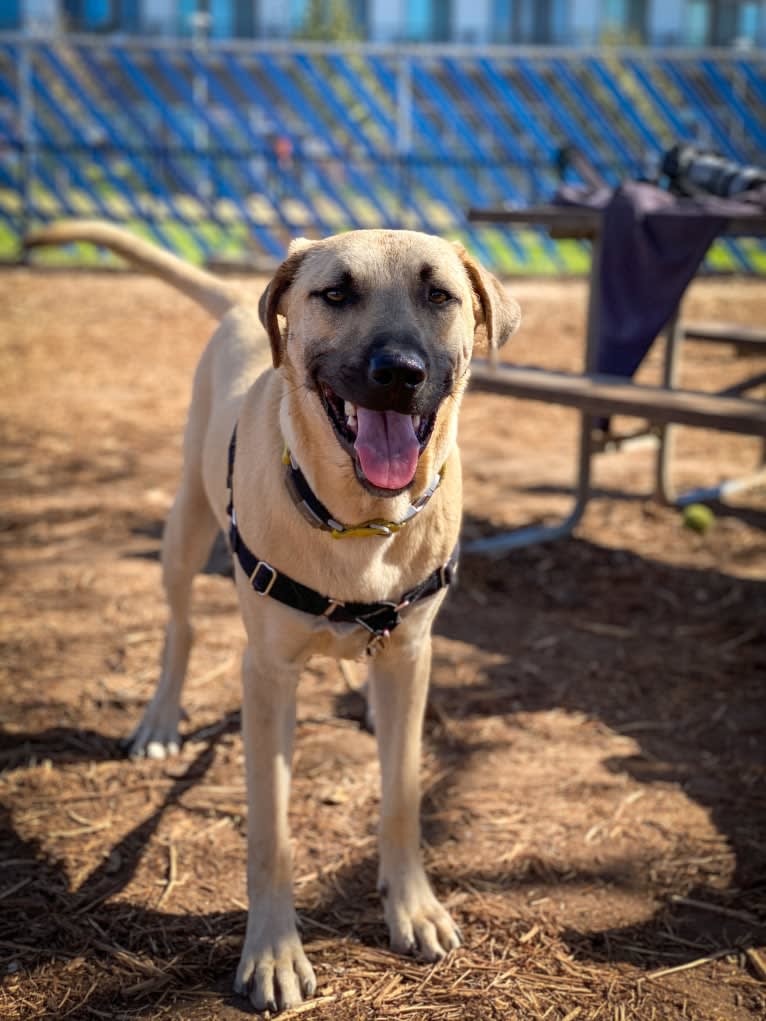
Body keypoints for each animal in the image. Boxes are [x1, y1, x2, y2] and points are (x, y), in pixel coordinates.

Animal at [27, 219, 527, 1008]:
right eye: (336, 293)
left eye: (440, 295)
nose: (399, 372)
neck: (361, 523)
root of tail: (239, 302)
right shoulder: (265, 676)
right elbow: (271, 833)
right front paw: (271, 951)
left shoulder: (412, 652)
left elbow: (403, 797)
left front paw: (412, 906)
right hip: (185, 524)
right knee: (181, 628)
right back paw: (160, 720)